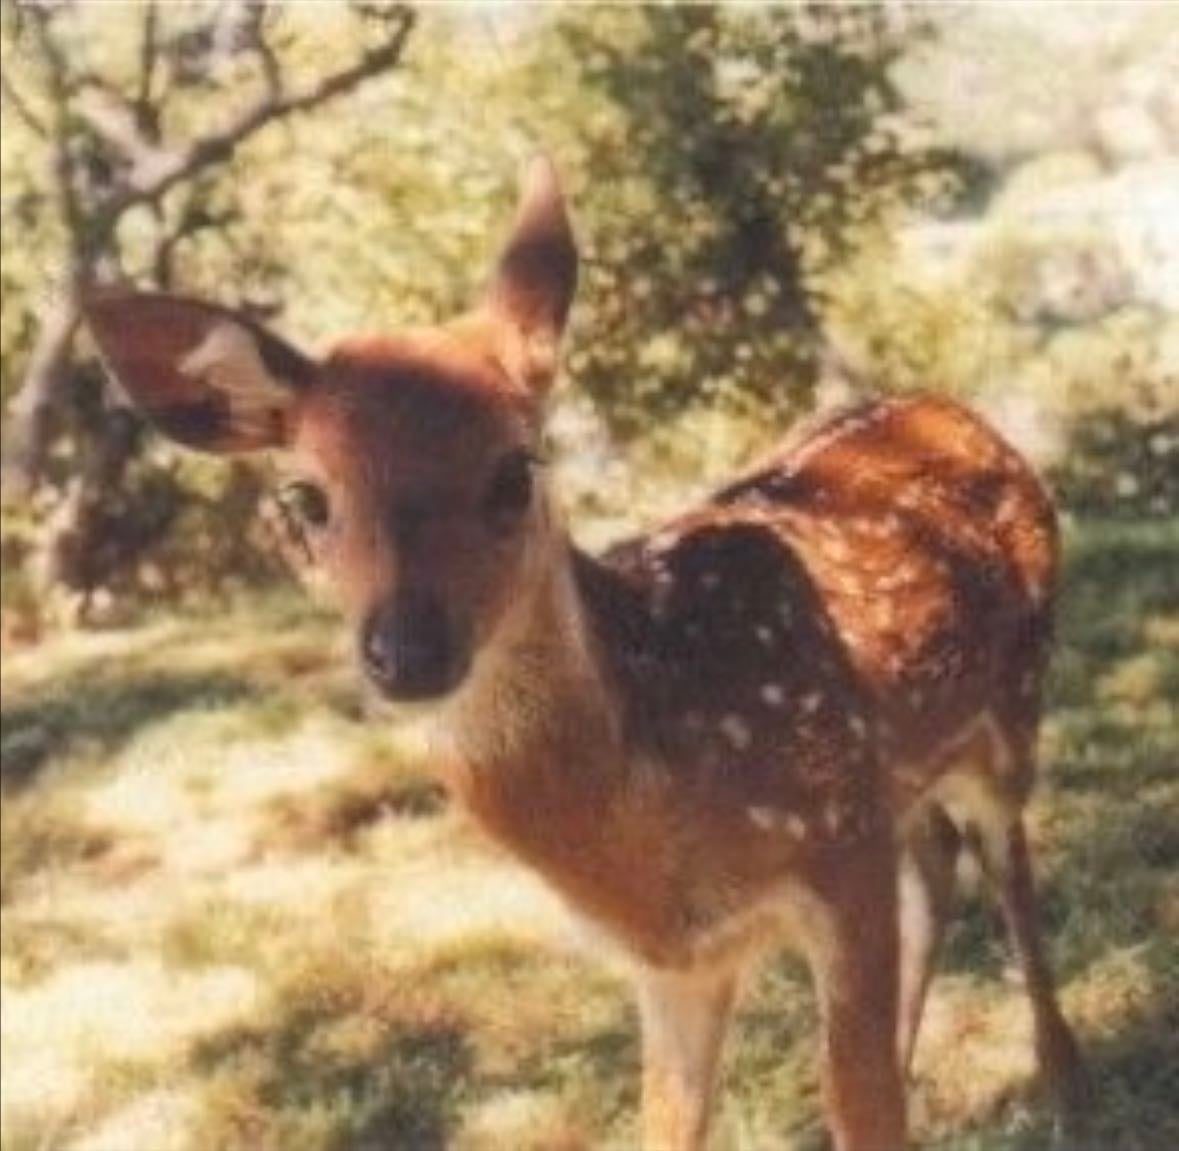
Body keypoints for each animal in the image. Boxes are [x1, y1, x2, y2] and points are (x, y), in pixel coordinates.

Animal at [84, 157, 1092, 1151]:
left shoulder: (838, 853)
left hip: (1014, 703)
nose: (406, 651)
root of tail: (958, 411)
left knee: (1006, 862)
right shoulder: (677, 959)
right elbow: (675, 1122)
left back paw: (1062, 1079)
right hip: (911, 775)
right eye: (305, 500)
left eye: (513, 471)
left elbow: (862, 1106)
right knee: (937, 855)